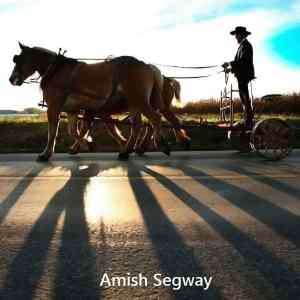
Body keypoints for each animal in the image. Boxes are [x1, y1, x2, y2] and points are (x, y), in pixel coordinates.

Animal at [8, 43, 169, 161]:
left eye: (18, 59)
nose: (11, 79)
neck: (55, 70)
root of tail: (147, 65)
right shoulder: (72, 110)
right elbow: (73, 131)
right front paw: (87, 144)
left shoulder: (54, 107)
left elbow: (53, 132)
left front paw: (46, 154)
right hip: (134, 104)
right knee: (138, 125)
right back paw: (127, 151)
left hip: (139, 101)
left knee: (155, 118)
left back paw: (160, 142)